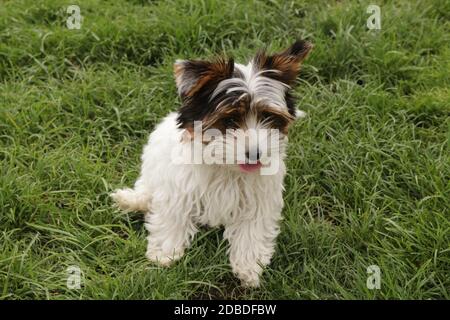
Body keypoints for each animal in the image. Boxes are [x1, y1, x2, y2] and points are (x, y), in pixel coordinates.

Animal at [110, 40, 312, 288]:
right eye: (230, 120)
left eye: (267, 116)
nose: (255, 153)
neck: (226, 167)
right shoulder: (179, 188)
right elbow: (173, 216)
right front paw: (165, 253)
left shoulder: (259, 198)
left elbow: (252, 228)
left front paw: (249, 266)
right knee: (147, 190)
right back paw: (132, 200)